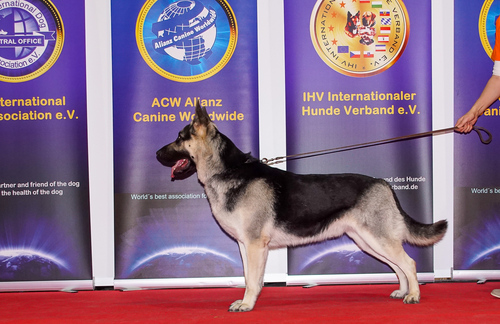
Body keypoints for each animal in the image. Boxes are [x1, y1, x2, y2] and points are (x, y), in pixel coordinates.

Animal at [157, 104, 450, 312]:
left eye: (179, 137)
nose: (157, 154)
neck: (228, 170)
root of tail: (384, 184)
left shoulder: (254, 245)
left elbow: (252, 280)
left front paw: (247, 304)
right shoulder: (244, 245)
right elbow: (250, 277)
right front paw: (249, 300)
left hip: (377, 239)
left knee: (409, 263)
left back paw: (413, 295)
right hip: (368, 241)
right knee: (398, 265)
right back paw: (403, 291)